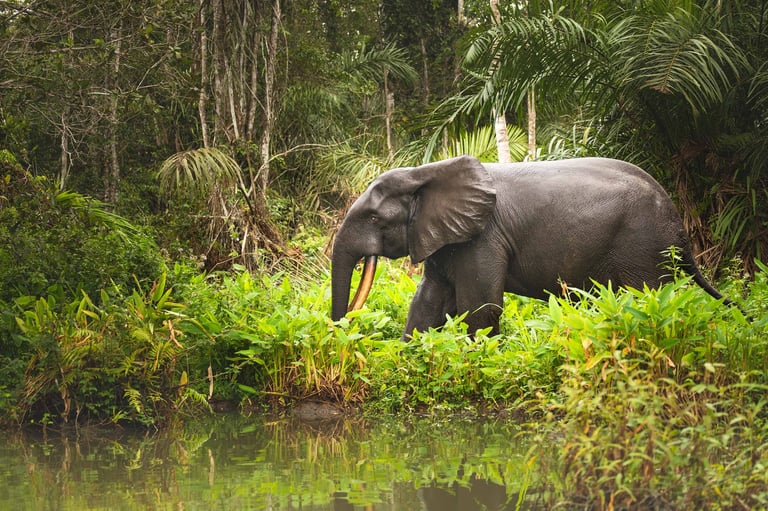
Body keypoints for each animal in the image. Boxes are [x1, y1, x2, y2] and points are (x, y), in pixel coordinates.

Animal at [331, 155, 730, 339]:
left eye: (373, 218)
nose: (341, 330)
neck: (425, 172)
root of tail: (678, 223)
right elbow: (428, 300)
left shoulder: (484, 238)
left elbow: (481, 307)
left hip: (641, 248)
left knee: (645, 297)